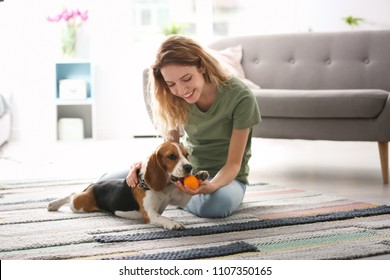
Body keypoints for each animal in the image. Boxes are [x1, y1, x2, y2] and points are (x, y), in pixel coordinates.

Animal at [47, 142, 209, 230]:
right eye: (171, 156)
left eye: (186, 155)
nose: (189, 167)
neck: (166, 187)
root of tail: (94, 185)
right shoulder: (150, 214)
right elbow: (162, 218)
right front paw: (173, 223)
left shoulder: (179, 199)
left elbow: (186, 196)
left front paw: (201, 175)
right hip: (80, 205)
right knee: (71, 195)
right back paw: (53, 204)